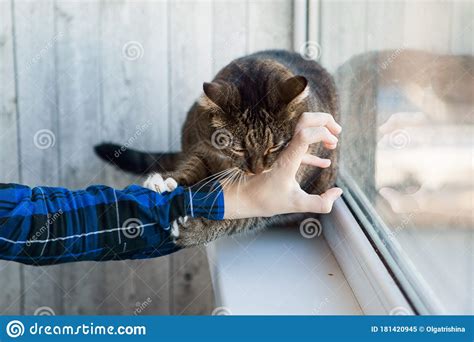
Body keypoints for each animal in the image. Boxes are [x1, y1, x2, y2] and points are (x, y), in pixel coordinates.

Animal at [94, 50, 338, 246]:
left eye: (275, 147)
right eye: (238, 149)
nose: (257, 171)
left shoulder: (280, 195)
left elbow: (241, 217)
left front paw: (196, 229)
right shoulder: (202, 145)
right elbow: (192, 165)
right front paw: (165, 181)